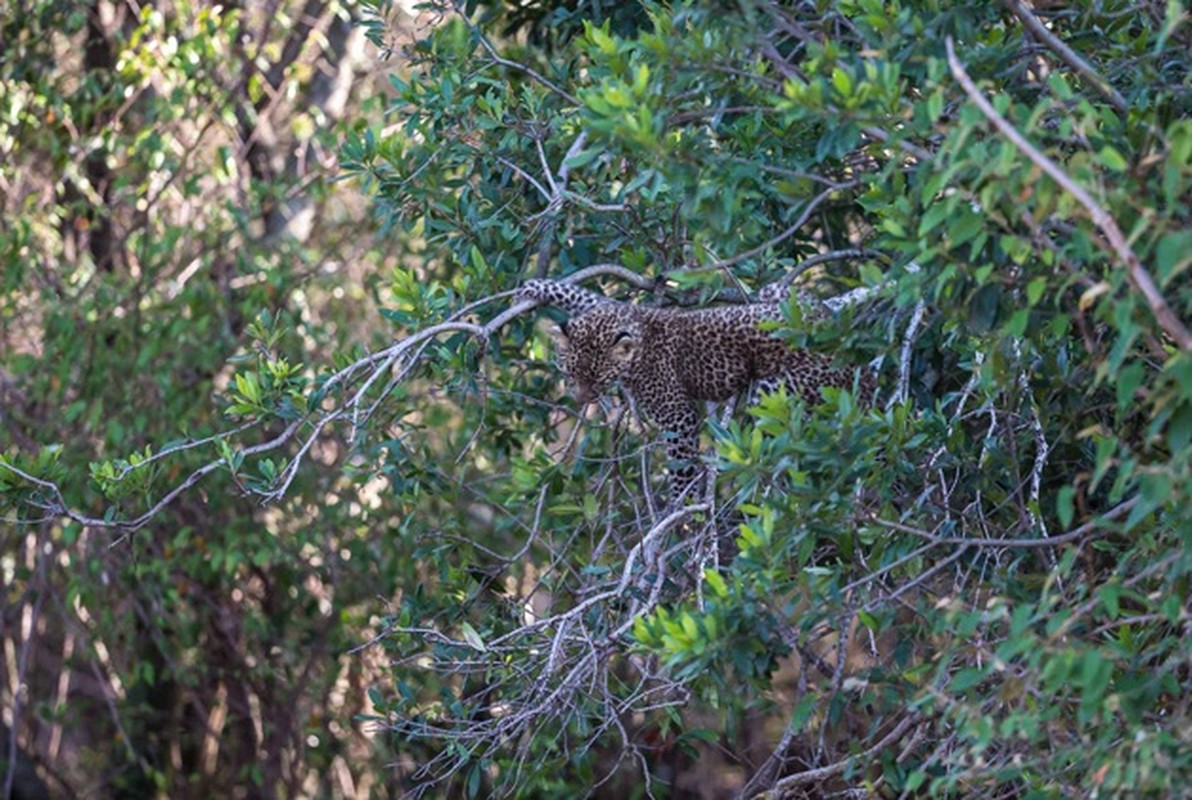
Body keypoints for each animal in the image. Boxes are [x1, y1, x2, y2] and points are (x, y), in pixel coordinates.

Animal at [517, 278, 872, 498]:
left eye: (599, 380)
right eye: (570, 373)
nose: (580, 399)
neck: (639, 341)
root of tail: (862, 371)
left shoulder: (678, 416)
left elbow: (681, 463)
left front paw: (682, 506)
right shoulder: (620, 310)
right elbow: (587, 296)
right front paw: (535, 286)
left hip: (778, 387)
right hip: (782, 297)